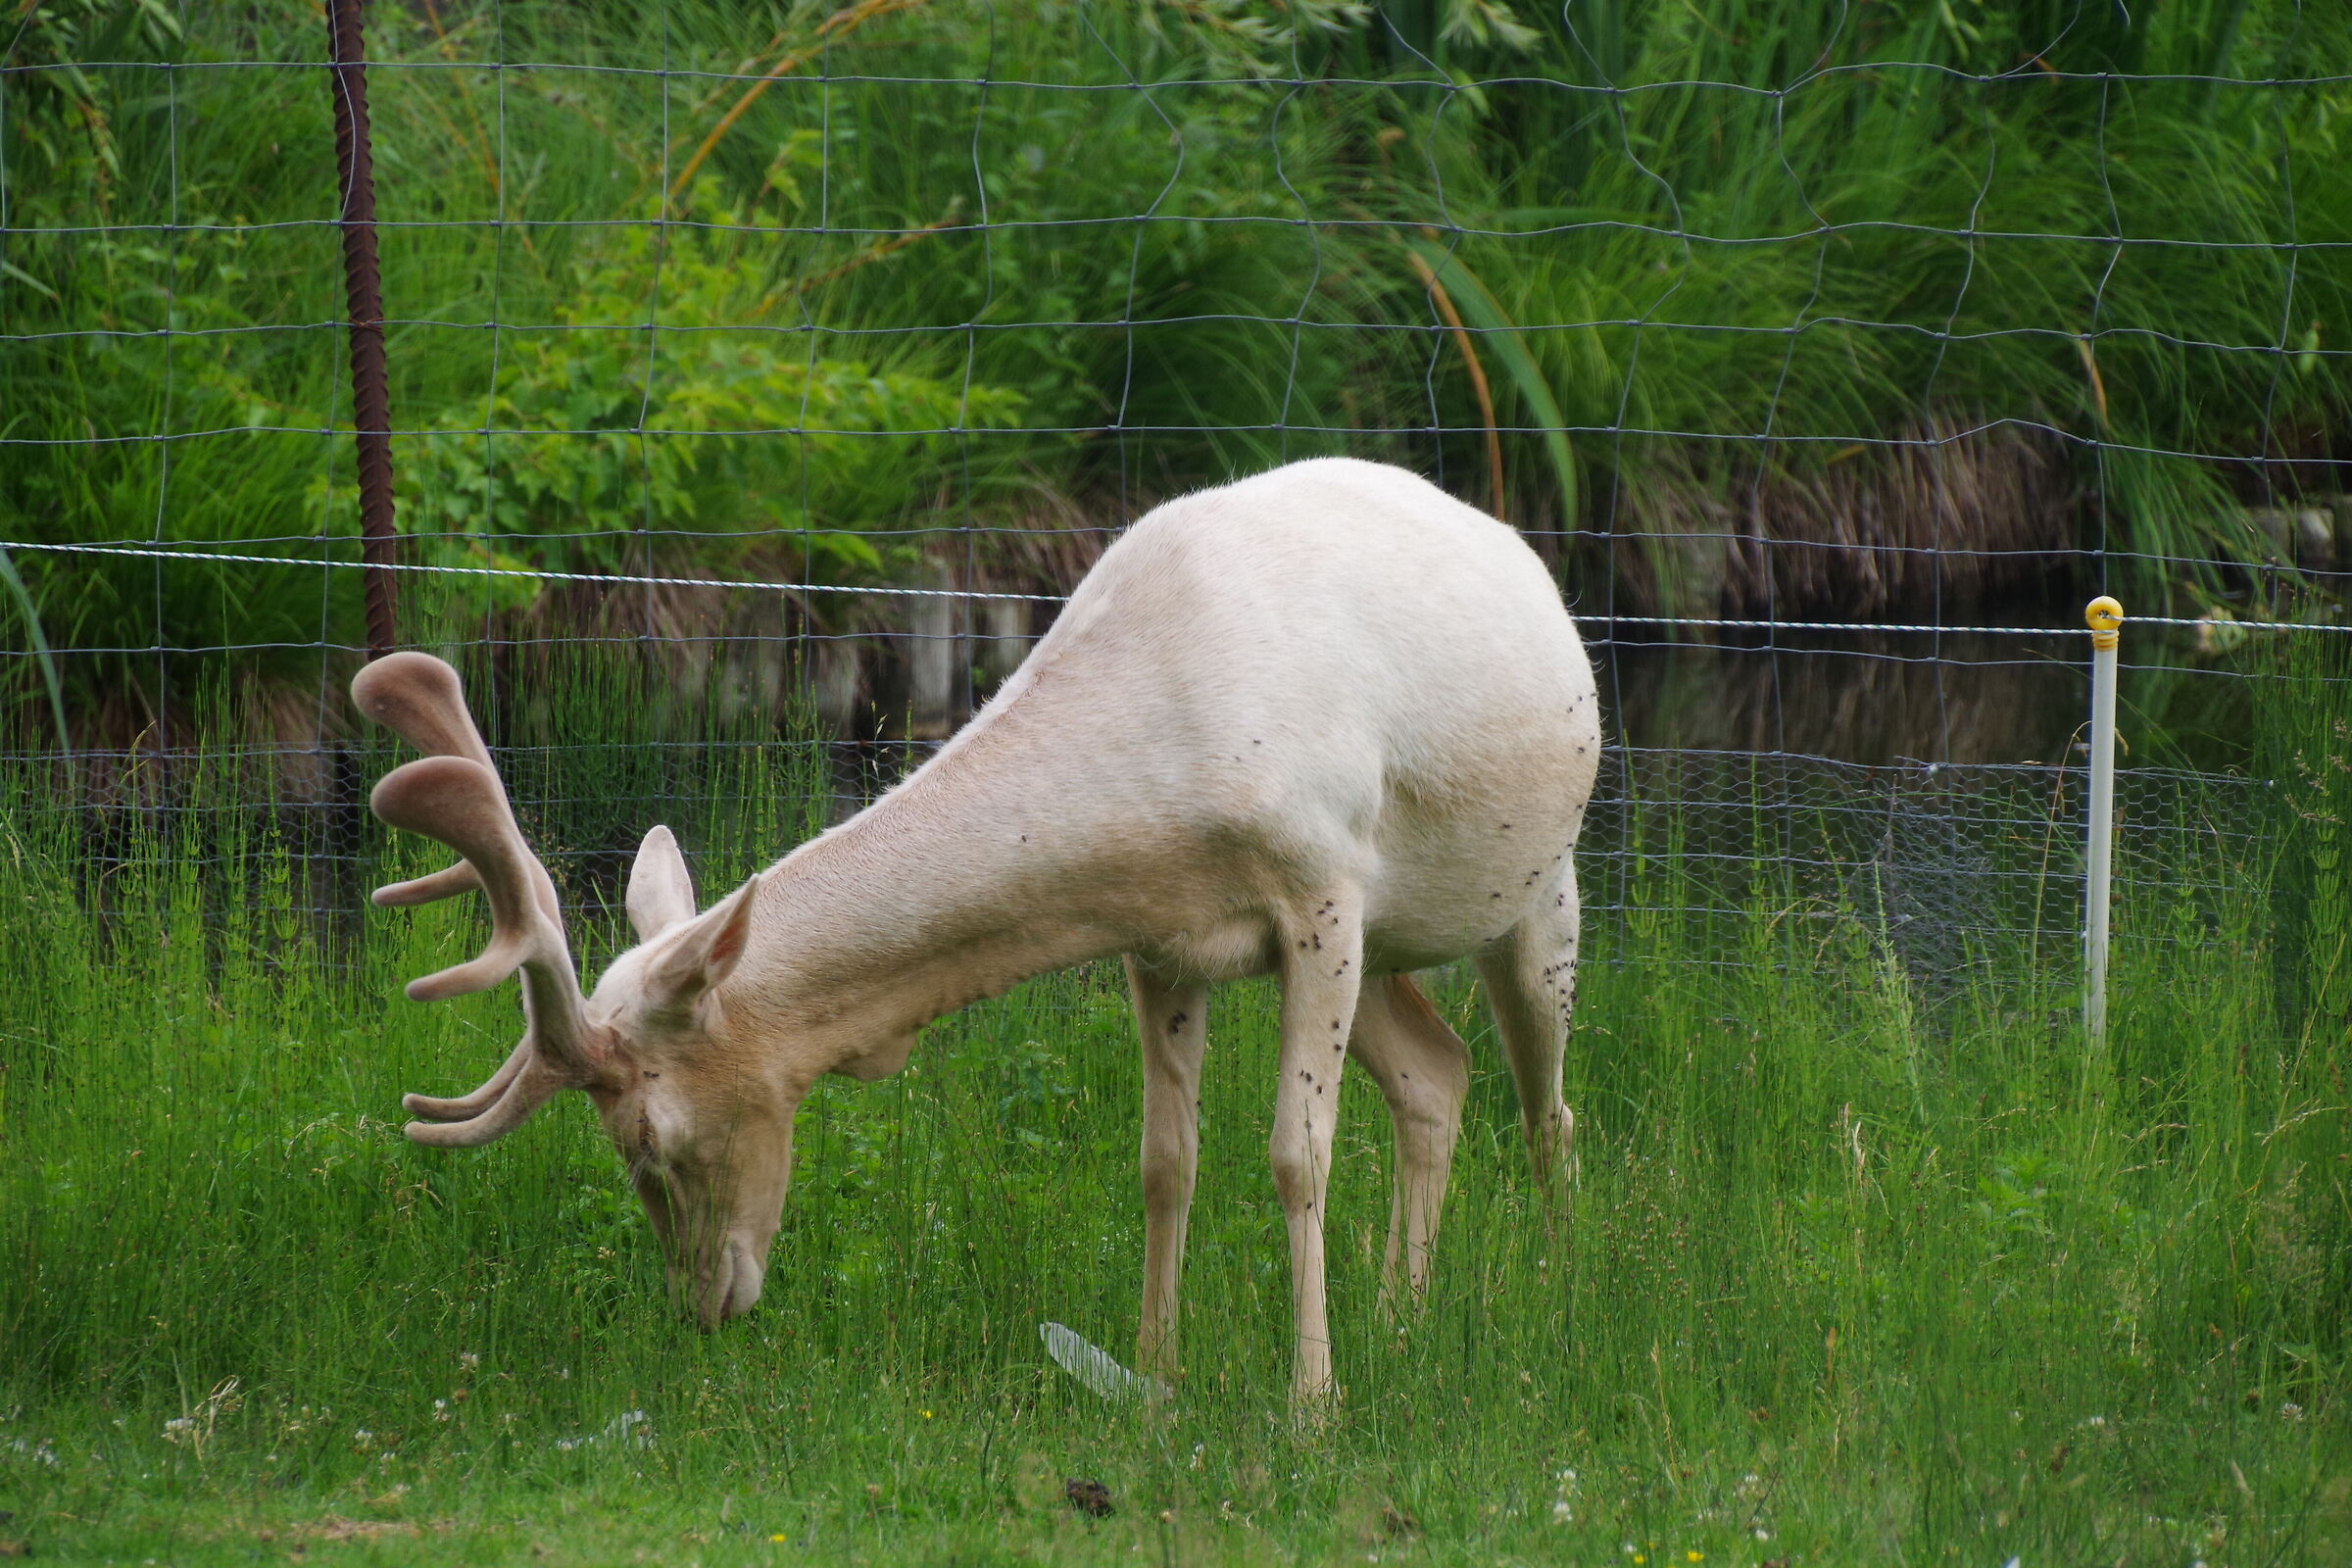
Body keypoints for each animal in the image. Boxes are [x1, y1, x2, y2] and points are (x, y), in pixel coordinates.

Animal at [354, 456, 1601, 1407]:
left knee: (1550, 1108)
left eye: (654, 1140)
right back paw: (1401, 1317)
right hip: (1388, 949)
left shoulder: (1322, 886)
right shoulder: (1166, 942)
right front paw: (1155, 1374)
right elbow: (1165, 1162)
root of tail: (1533, 564)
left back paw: (1555, 1298)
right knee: (1439, 1073)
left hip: (1537, 886)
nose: (705, 1302)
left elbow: (1298, 1155)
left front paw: (1310, 1405)